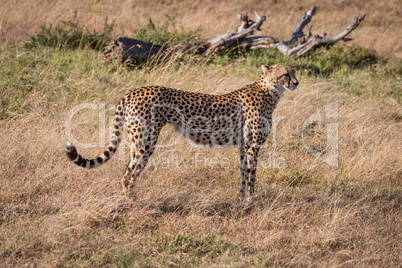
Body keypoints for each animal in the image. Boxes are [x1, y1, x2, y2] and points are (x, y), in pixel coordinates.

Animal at [66, 63, 298, 200]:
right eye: (285, 74)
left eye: (294, 73)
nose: (296, 82)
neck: (270, 91)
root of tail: (133, 92)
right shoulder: (252, 146)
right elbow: (252, 174)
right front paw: (251, 200)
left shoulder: (243, 145)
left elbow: (243, 172)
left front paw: (241, 199)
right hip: (146, 142)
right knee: (129, 174)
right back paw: (133, 203)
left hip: (137, 141)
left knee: (125, 171)